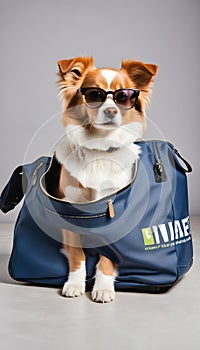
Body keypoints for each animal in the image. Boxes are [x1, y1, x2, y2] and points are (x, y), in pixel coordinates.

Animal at [55, 56, 158, 302]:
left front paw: (103, 287)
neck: (99, 148)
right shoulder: (69, 210)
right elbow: (77, 254)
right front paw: (74, 284)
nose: (111, 110)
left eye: (123, 96)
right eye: (95, 94)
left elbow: (108, 257)